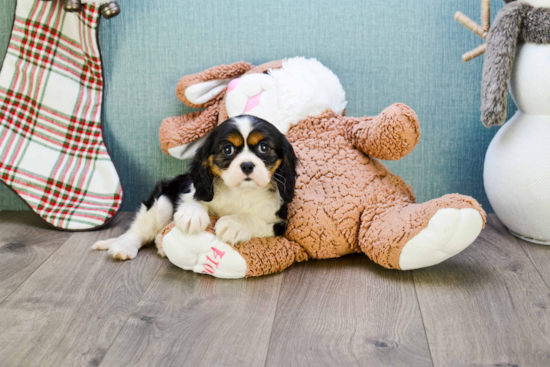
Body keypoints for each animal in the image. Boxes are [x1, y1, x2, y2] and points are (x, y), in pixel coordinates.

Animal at [91, 115, 298, 262]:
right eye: (228, 150)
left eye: (264, 148)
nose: (247, 165)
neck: (240, 192)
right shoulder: (192, 191)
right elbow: (193, 201)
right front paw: (192, 216)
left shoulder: (278, 222)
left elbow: (255, 219)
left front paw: (234, 224)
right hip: (161, 201)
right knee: (139, 231)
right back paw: (124, 246)